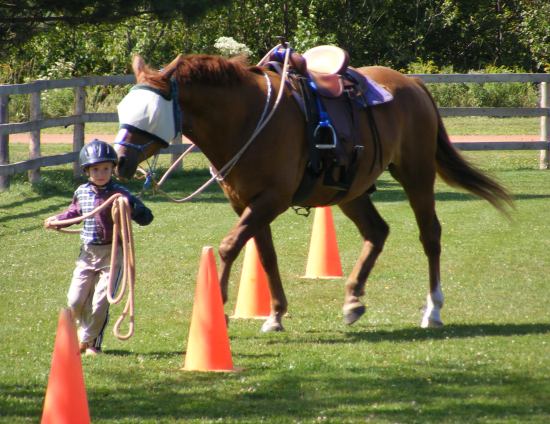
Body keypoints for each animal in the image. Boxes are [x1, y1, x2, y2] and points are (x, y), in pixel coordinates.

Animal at [113, 52, 512, 332]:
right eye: (123, 108)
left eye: (150, 112)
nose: (119, 159)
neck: (248, 118)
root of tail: (413, 84)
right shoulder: (247, 204)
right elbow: (266, 256)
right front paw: (275, 315)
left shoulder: (270, 200)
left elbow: (228, 246)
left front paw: (217, 309)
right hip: (352, 191)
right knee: (377, 232)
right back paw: (352, 300)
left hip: (416, 175)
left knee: (430, 235)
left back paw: (433, 309)